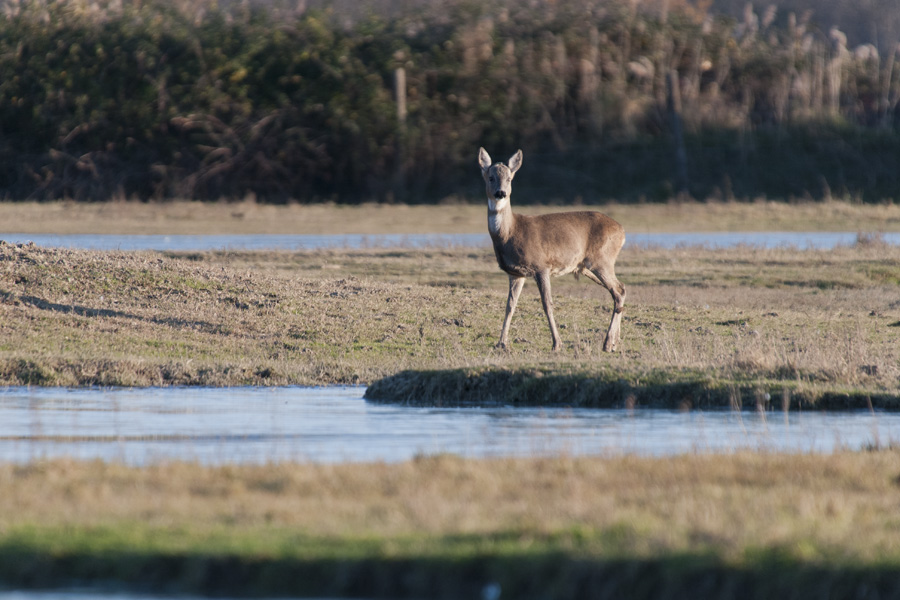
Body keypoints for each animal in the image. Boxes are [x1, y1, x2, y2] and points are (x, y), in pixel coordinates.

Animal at [478, 148, 624, 352]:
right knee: (621, 290)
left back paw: (608, 343)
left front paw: (556, 344)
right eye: (491, 177)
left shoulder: (542, 266)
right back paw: (614, 342)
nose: (501, 193)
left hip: (602, 260)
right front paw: (501, 343)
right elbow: (510, 306)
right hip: (587, 266)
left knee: (617, 291)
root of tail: (622, 230)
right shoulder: (516, 273)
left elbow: (547, 304)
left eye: (509, 178)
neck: (510, 232)